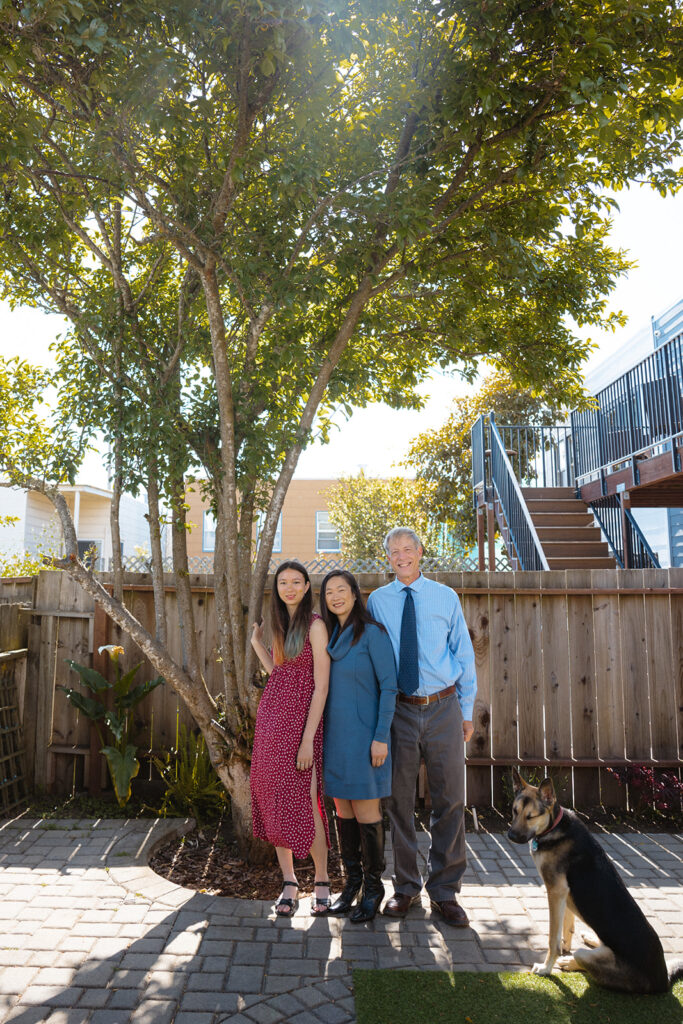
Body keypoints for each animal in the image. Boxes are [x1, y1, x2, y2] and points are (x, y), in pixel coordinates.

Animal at [507, 770, 683, 991]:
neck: (553, 827)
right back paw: (589, 941)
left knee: (584, 961)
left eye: (530, 816)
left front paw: (547, 967)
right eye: (514, 811)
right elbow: (567, 926)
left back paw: (571, 961)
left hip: (590, 958)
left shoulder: (555, 891)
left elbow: (552, 939)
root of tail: (663, 979)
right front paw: (565, 946)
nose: (511, 836)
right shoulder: (564, 894)